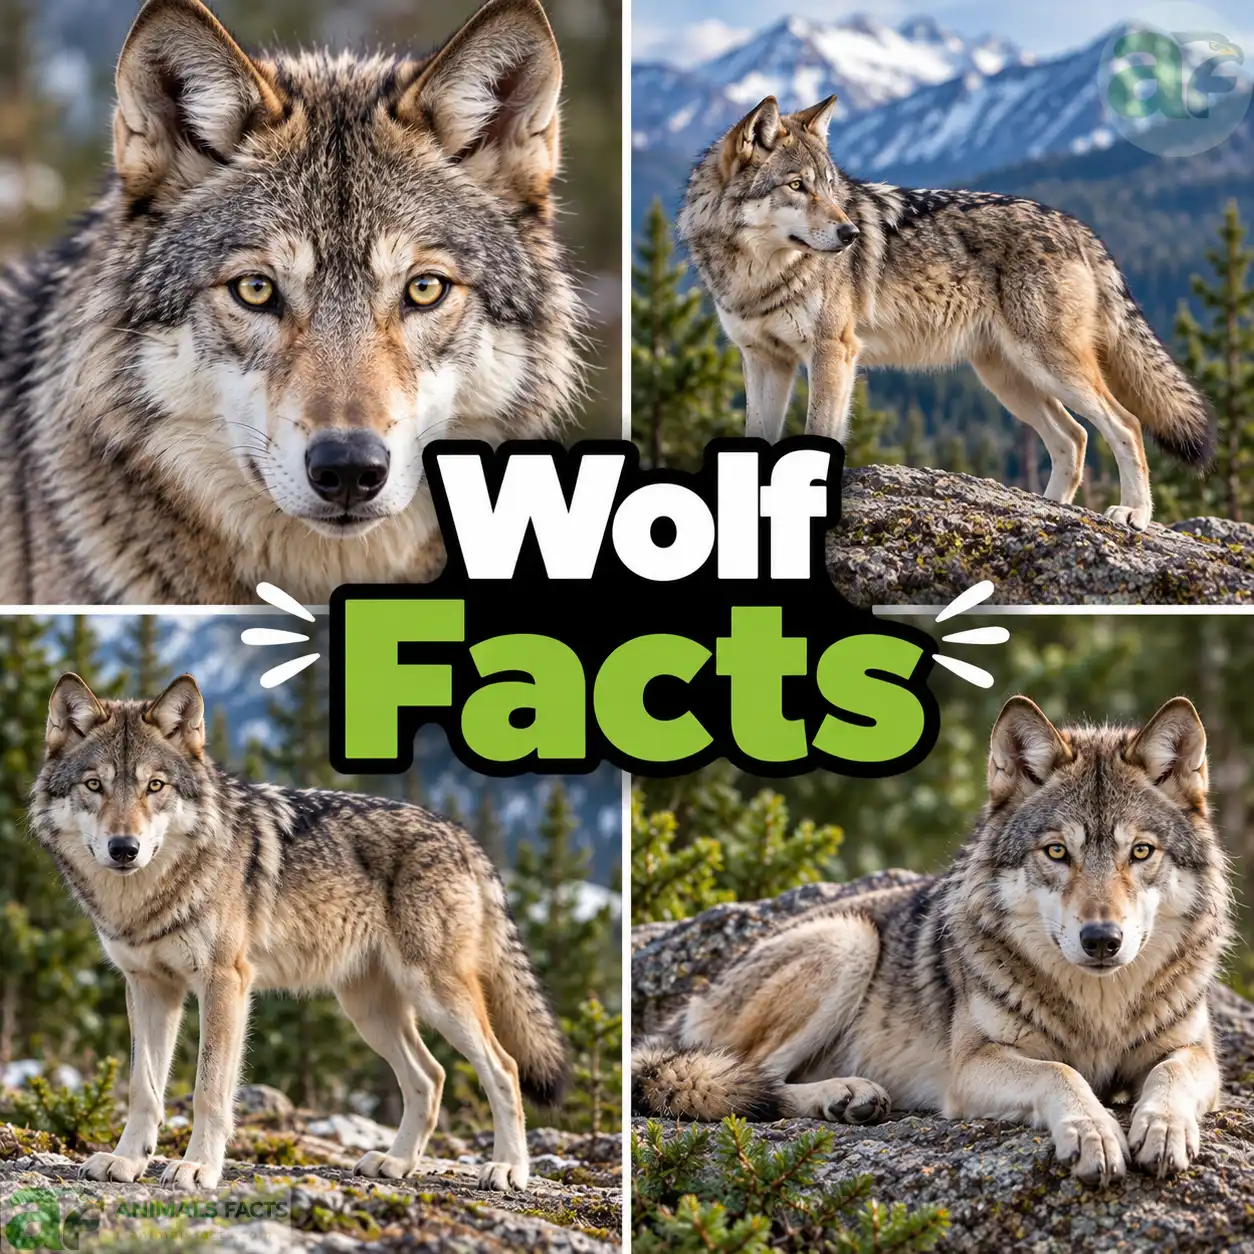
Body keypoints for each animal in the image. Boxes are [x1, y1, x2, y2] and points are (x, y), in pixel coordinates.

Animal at [29, 672, 567, 1192]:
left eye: (155, 786)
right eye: (94, 785)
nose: (124, 848)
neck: (146, 898)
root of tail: (460, 835)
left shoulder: (225, 983)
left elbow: (208, 1091)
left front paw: (198, 1167)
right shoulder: (148, 987)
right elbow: (143, 1088)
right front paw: (126, 1161)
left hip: (435, 994)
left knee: (504, 1068)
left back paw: (508, 1169)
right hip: (368, 1010)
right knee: (431, 1076)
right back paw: (396, 1162)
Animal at [633, 696, 1233, 1185]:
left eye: (1141, 852)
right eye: (1057, 852)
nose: (1102, 940)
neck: (1099, 1010)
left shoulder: (1194, 1051)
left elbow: (1170, 1074)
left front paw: (1163, 1129)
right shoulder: (971, 1067)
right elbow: (1061, 1073)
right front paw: (1094, 1131)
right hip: (849, 941)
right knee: (741, 1083)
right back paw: (845, 1095)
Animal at [679, 95, 1215, 531]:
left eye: (830, 188)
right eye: (796, 185)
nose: (851, 234)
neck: (758, 274)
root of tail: (1077, 227)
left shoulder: (833, 354)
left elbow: (820, 433)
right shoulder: (764, 360)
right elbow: (756, 437)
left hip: (1051, 366)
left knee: (1125, 424)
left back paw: (1134, 513)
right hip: (1007, 380)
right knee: (1075, 437)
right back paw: (1049, 509)